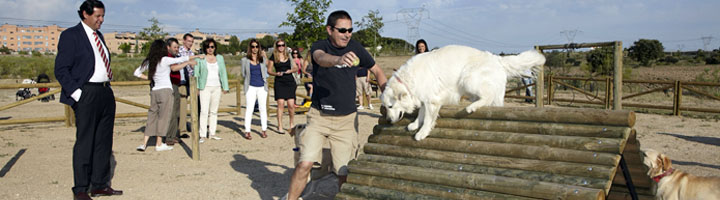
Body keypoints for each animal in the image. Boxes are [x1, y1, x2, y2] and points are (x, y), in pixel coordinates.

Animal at [380, 44, 544, 140]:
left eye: (390, 106)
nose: (388, 120)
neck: (408, 80)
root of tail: (498, 59)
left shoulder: (432, 100)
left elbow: (427, 118)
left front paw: (422, 133)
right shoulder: (424, 98)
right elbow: (421, 113)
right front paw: (414, 124)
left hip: (468, 79)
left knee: (487, 96)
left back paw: (471, 107)